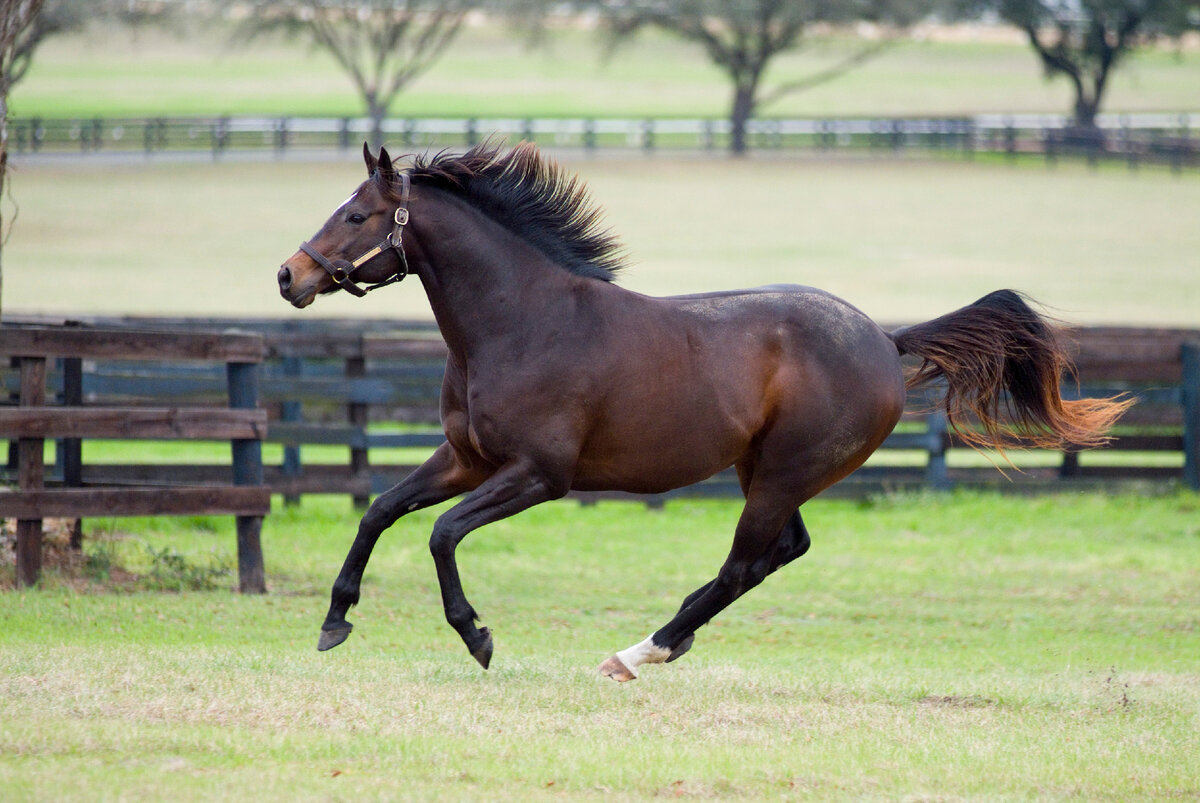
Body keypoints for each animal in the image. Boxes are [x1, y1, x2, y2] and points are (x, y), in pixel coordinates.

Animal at [276, 141, 1128, 681]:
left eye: (356, 215)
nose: (289, 276)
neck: (522, 320)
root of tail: (886, 342)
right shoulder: (466, 458)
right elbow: (380, 509)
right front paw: (333, 621)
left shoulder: (538, 475)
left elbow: (441, 533)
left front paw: (477, 635)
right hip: (765, 470)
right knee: (783, 550)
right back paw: (661, 646)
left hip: (782, 472)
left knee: (745, 562)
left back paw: (639, 652)